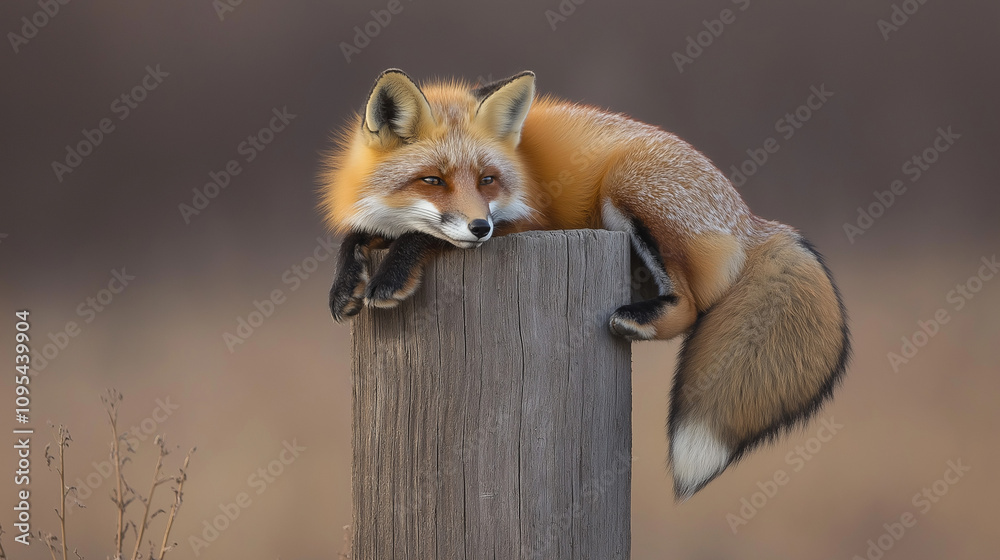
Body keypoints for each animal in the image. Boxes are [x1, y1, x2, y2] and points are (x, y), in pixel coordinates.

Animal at [320, 69, 850, 500]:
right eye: (432, 180)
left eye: (488, 180)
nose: (479, 227)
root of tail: (753, 220)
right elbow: (357, 236)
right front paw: (346, 282)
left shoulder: (526, 222)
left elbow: (422, 235)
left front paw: (390, 276)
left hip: (628, 185)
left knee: (690, 305)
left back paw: (640, 319)